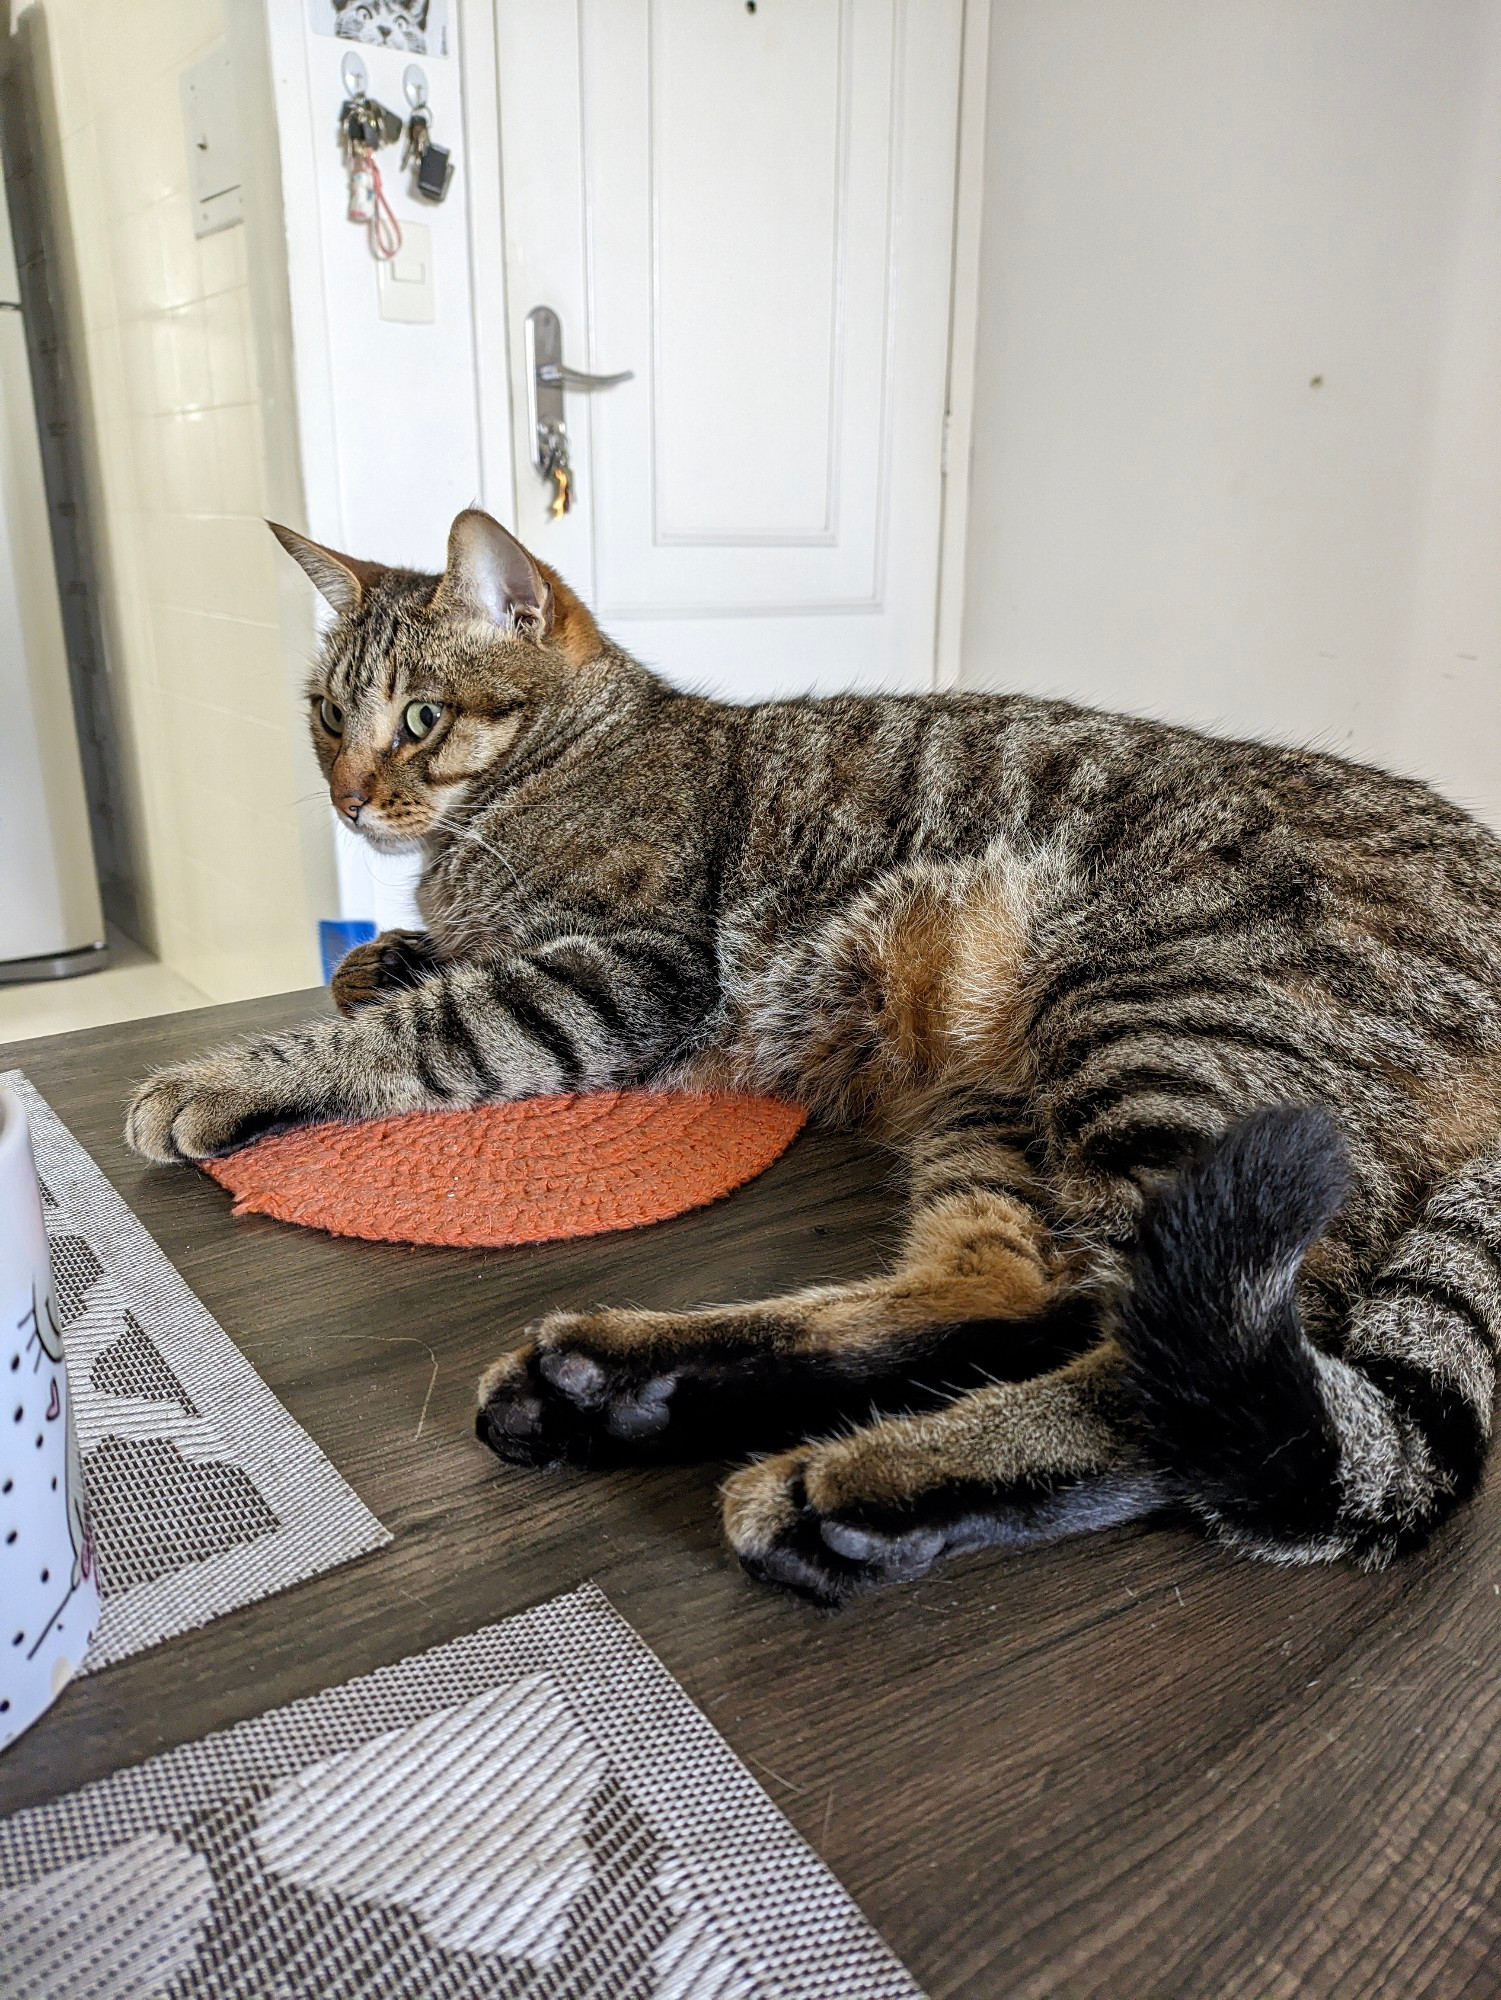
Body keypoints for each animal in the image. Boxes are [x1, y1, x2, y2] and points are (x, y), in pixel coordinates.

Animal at [126, 512, 1501, 1608]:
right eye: (324, 716)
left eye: (419, 718)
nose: (351, 795)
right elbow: (391, 969)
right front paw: (383, 953)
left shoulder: (626, 972)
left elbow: (419, 1026)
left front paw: (222, 1078)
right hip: (1000, 1096)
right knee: (1018, 1292)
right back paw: (628, 1387)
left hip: (1155, 1032)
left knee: (1175, 1367)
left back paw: (835, 1485)